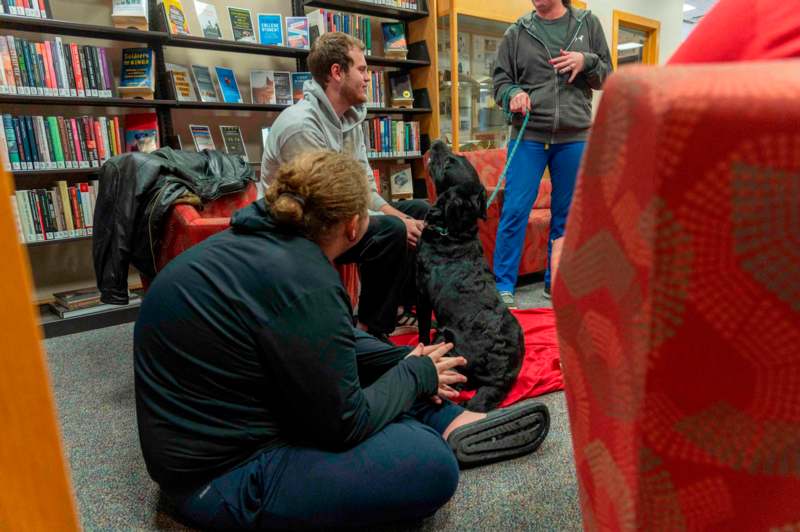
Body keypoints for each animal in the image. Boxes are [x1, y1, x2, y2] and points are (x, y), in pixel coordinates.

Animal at [418, 140, 524, 412]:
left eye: (449, 162)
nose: (436, 142)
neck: (454, 232)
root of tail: (500, 375)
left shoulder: (420, 292)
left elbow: (422, 327)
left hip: (447, 346)